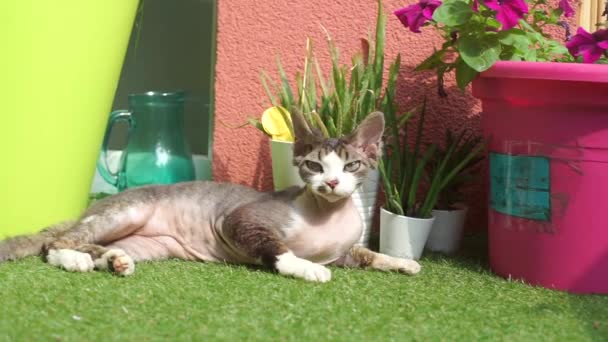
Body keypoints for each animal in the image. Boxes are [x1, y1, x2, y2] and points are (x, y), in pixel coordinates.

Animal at [0, 111, 420, 282]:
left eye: (351, 166)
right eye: (314, 166)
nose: (332, 184)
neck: (326, 215)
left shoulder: (344, 252)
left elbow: (366, 254)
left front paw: (402, 262)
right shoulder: (241, 220)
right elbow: (278, 249)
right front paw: (307, 267)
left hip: (148, 245)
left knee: (94, 245)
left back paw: (113, 260)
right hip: (126, 212)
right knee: (55, 243)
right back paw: (73, 259)